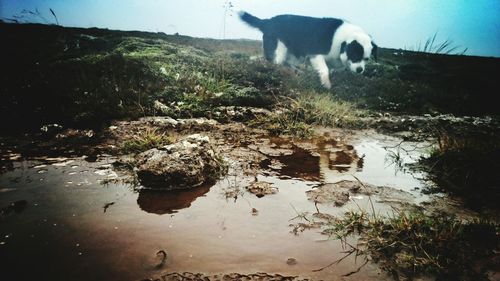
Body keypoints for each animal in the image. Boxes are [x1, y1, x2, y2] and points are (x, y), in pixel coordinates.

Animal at [240, 11, 376, 88]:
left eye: (366, 59)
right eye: (355, 56)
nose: (360, 70)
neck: (343, 40)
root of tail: (267, 22)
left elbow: (332, 69)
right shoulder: (316, 54)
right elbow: (324, 70)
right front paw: (326, 84)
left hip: (293, 54)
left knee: (286, 63)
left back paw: (296, 72)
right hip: (279, 50)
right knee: (276, 63)